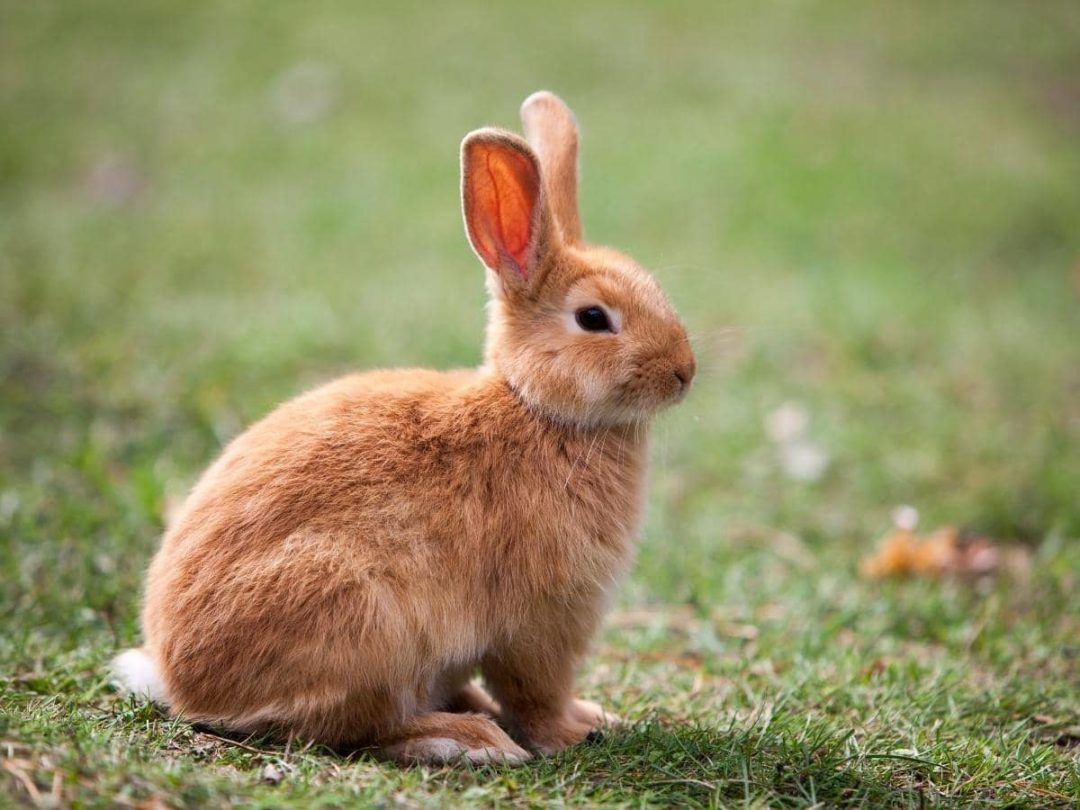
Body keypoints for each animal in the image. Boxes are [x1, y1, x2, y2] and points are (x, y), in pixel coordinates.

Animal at [112, 91, 695, 765]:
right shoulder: (542, 622)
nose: (684, 372)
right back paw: (468, 739)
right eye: (594, 318)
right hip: (363, 624)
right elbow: (535, 692)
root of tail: (184, 683)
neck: (538, 409)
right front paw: (573, 732)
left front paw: (596, 716)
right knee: (352, 727)